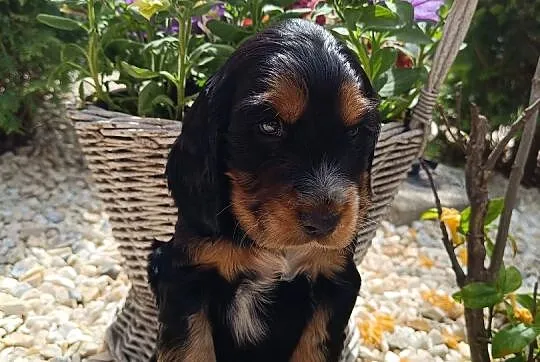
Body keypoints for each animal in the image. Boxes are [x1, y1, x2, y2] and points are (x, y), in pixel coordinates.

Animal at [149, 18, 380, 362]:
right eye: (269, 126)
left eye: (355, 132)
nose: (324, 221)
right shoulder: (185, 278)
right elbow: (192, 349)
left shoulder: (335, 280)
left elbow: (313, 349)